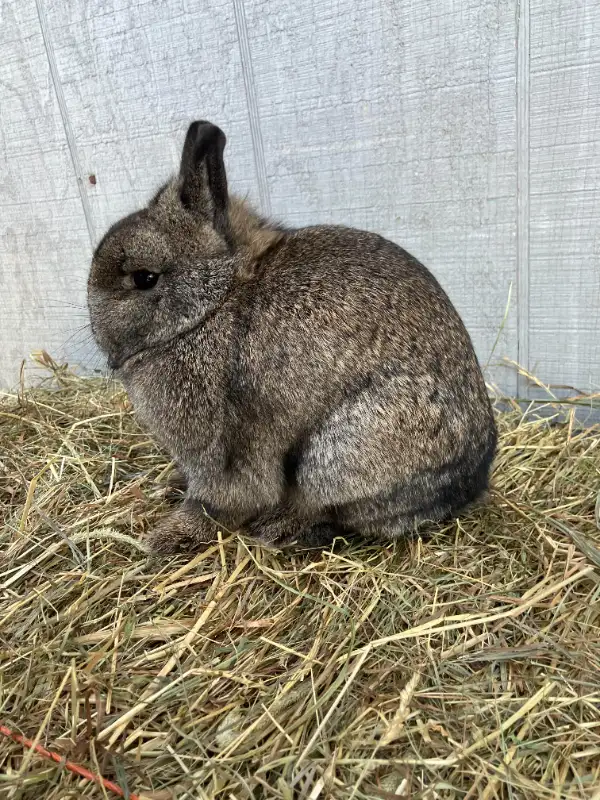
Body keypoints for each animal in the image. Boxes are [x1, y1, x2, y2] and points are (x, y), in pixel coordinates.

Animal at [88, 120, 497, 555]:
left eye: (144, 278)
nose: (99, 335)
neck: (213, 304)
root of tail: (469, 483)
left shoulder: (221, 455)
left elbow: (214, 505)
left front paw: (165, 539)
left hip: (337, 455)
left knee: (329, 510)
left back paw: (278, 529)